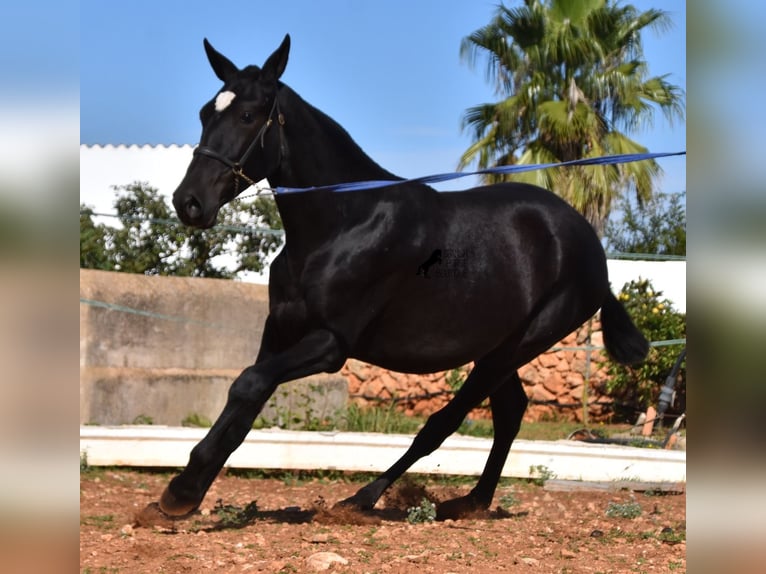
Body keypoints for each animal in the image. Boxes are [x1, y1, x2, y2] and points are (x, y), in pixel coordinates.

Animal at [164, 36, 648, 520]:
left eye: (247, 115)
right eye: (206, 113)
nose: (189, 202)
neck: (343, 224)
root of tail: (588, 244)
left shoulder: (331, 344)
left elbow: (248, 384)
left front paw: (179, 490)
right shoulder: (281, 329)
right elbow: (246, 398)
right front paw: (186, 492)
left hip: (518, 344)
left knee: (445, 422)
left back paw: (363, 498)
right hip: (496, 348)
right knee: (510, 411)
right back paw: (472, 501)